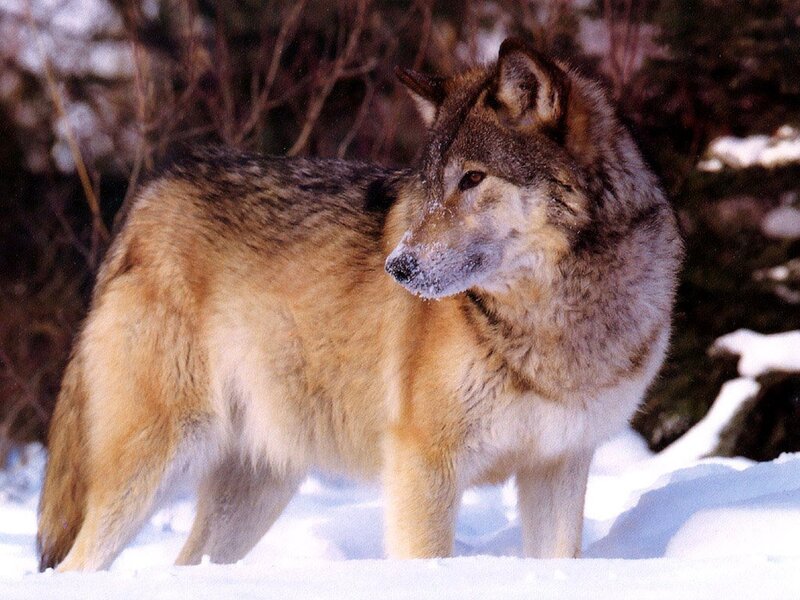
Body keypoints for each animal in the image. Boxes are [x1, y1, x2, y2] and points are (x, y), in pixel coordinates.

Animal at [37, 38, 682, 571]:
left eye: (472, 179)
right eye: (429, 184)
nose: (397, 267)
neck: (556, 318)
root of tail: (152, 193)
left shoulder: (559, 466)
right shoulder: (424, 466)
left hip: (257, 489)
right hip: (156, 460)